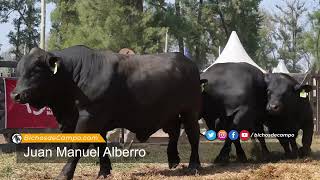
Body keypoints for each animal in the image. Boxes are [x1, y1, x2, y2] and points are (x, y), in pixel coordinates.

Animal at [13, 45, 202, 179]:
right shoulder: (97, 122)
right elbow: (100, 145)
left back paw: (194, 166)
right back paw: (173, 160)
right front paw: (104, 171)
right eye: (19, 70)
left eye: (36, 70)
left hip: (191, 111)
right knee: (174, 132)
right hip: (169, 113)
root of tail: (187, 61)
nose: (15, 94)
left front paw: (64, 174)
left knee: (193, 135)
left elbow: (78, 146)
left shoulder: (89, 117)